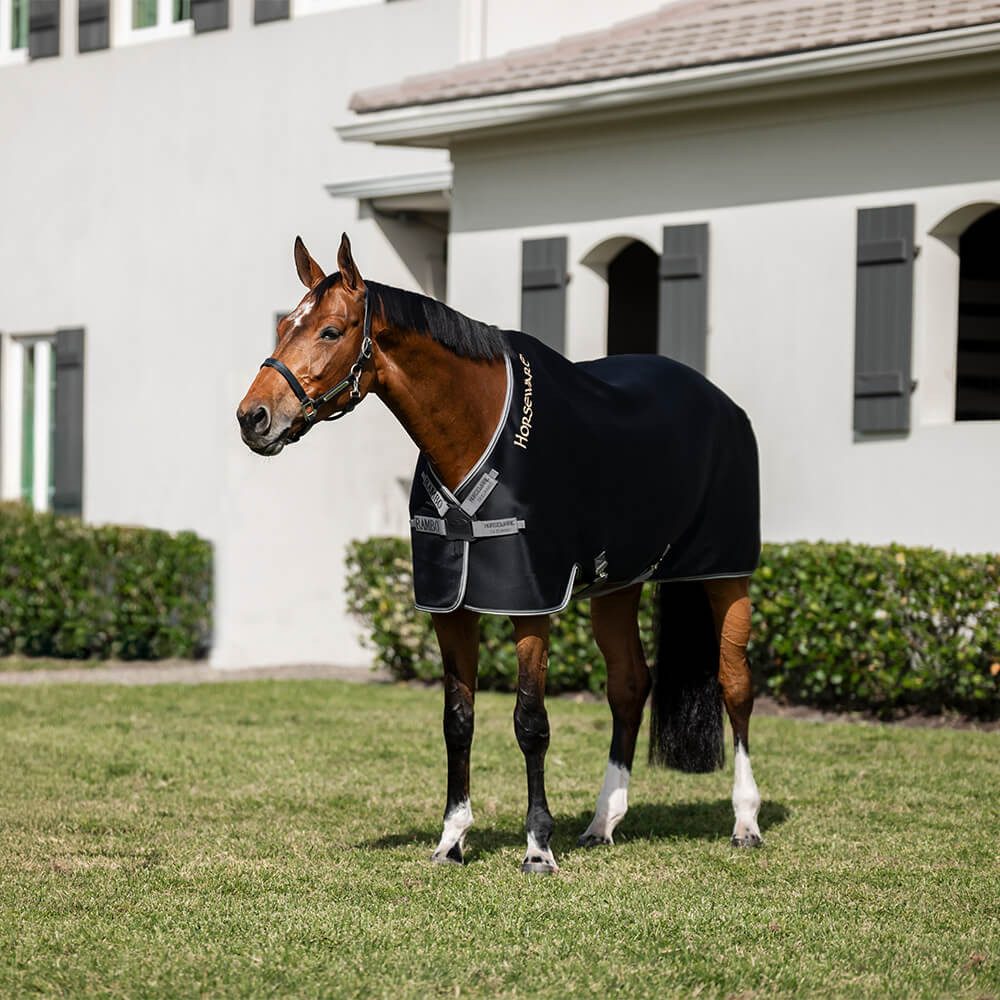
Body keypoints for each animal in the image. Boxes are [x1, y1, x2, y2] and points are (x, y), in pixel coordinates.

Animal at [237, 233, 763, 874]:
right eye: (284, 324)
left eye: (331, 331)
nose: (253, 417)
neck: (474, 430)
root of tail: (723, 404)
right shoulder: (451, 609)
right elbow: (457, 722)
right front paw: (452, 839)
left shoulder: (530, 606)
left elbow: (530, 721)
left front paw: (537, 846)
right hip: (617, 586)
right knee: (629, 686)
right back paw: (602, 822)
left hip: (726, 574)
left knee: (735, 685)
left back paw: (745, 821)